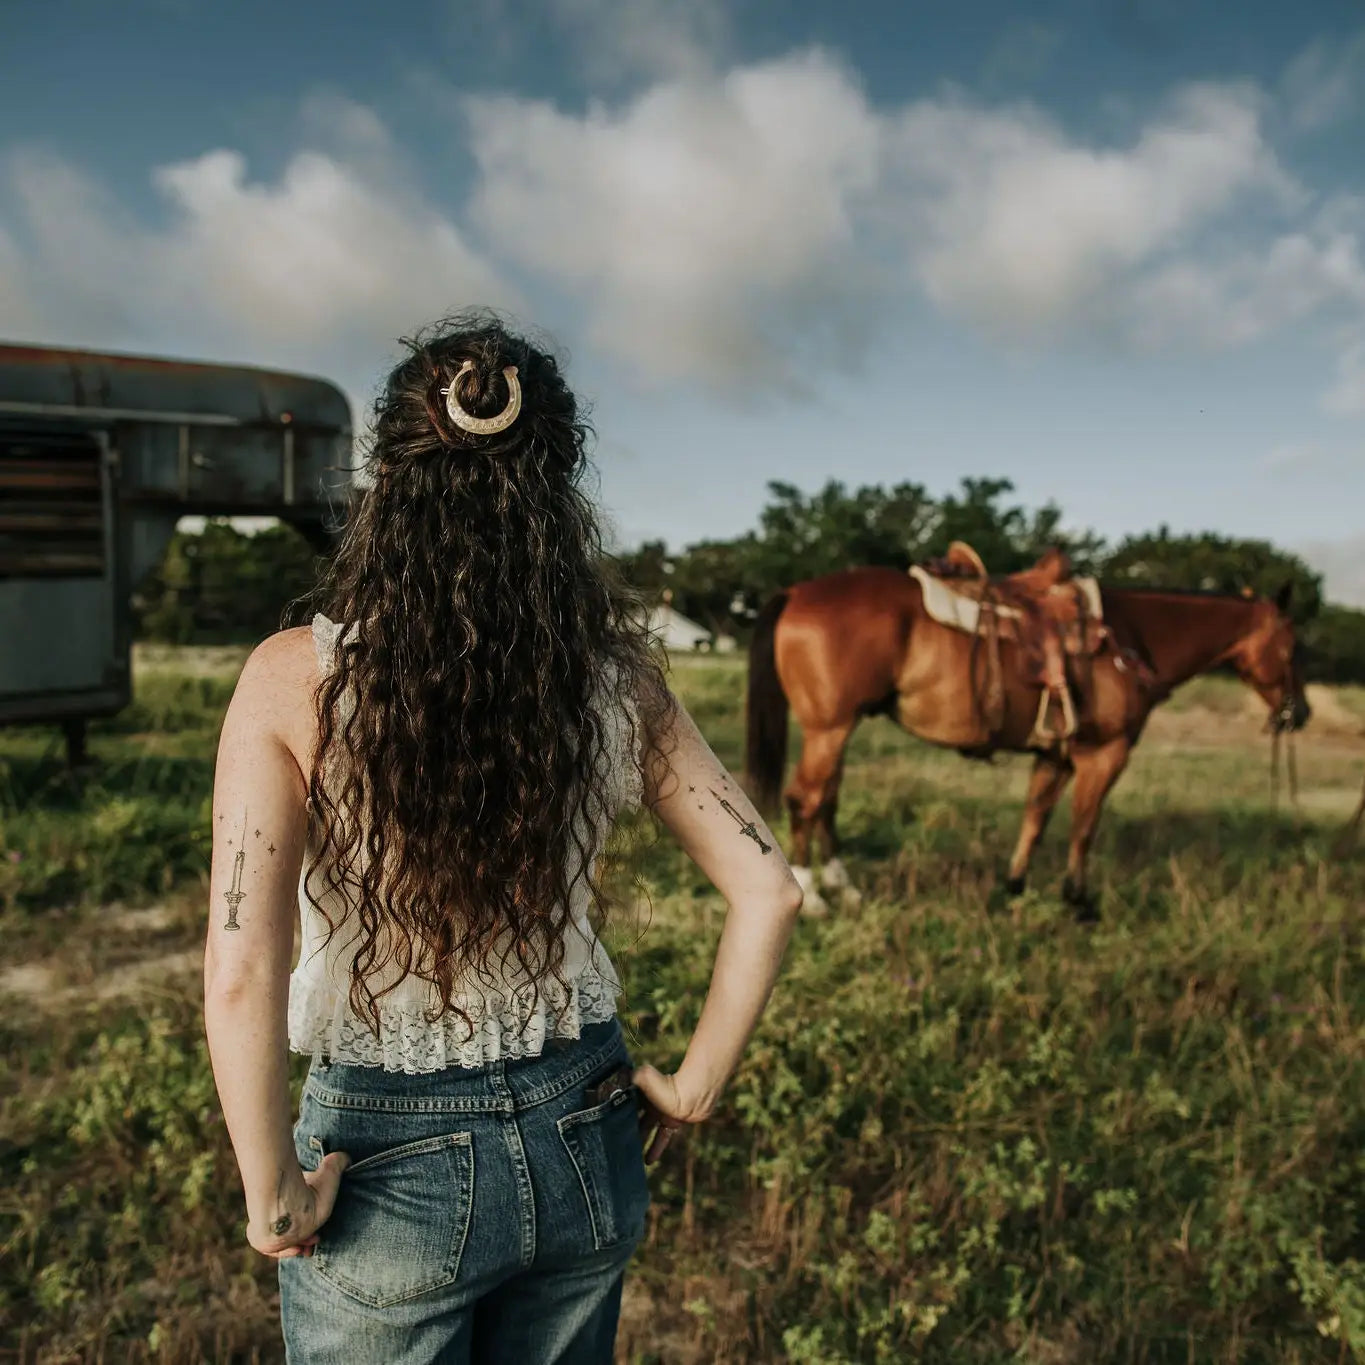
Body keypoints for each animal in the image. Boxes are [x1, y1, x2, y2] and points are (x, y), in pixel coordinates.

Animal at [748, 565, 1310, 917]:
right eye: (1293, 646)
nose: (1299, 712)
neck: (1130, 639)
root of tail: (797, 592)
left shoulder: (1054, 756)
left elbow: (1036, 819)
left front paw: (1015, 887)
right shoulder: (1104, 755)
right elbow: (1084, 827)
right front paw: (1078, 901)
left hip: (841, 728)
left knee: (827, 800)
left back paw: (843, 887)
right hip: (830, 728)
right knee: (806, 799)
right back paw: (813, 894)